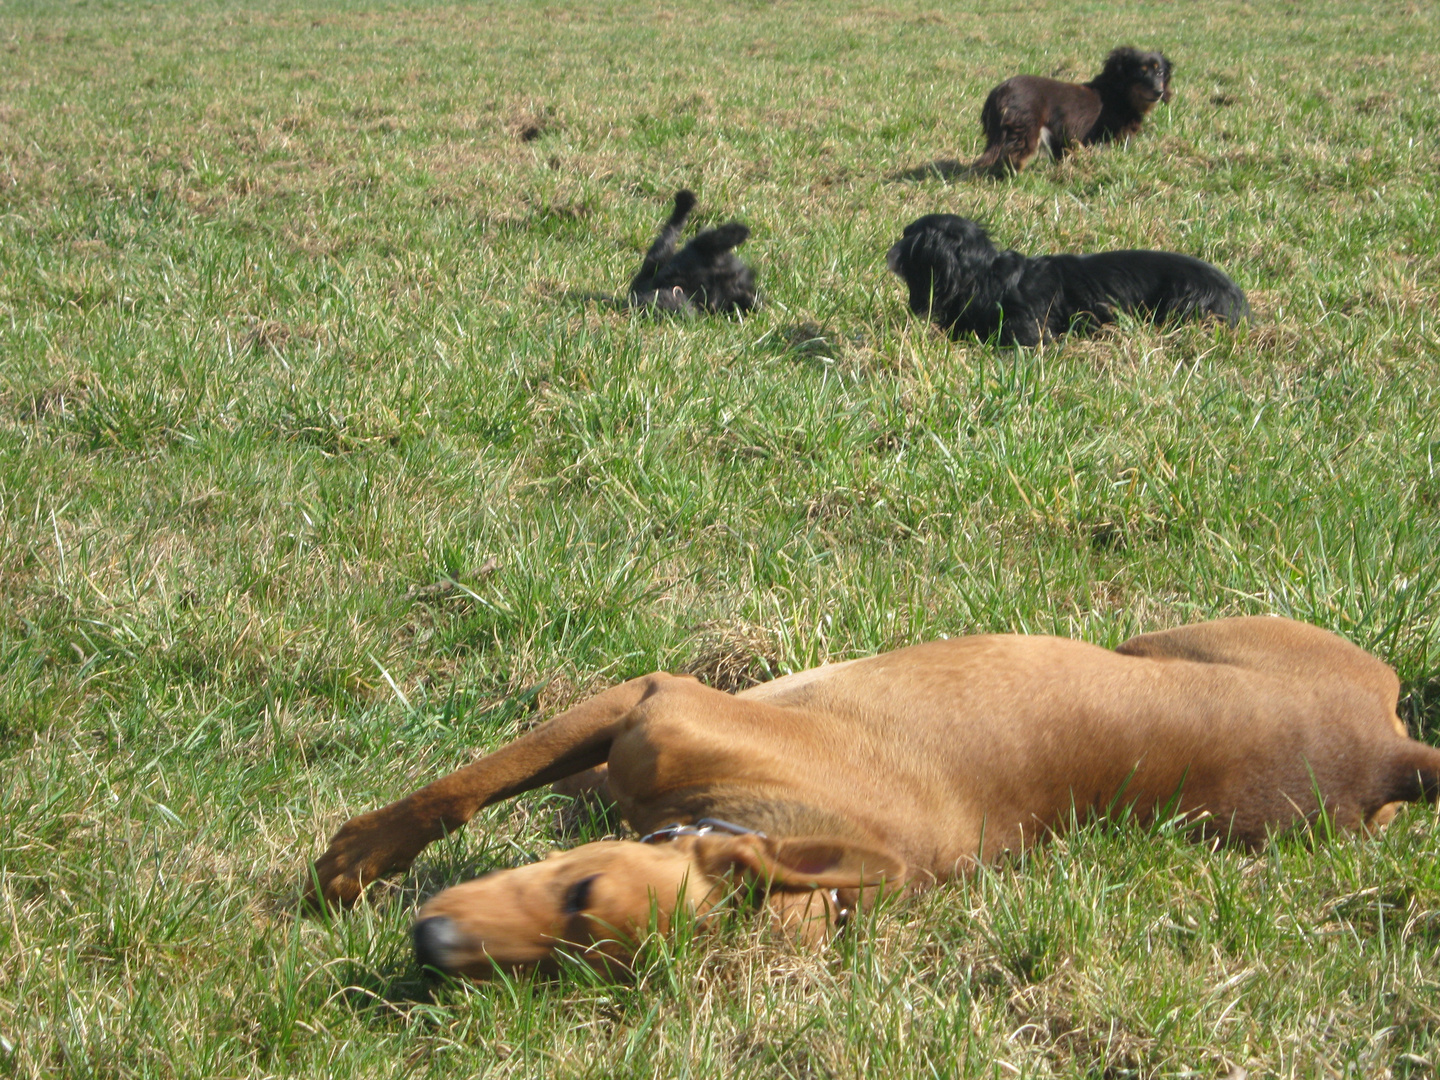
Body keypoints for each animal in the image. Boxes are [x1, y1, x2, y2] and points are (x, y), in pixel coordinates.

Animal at [973, 46, 1175, 175]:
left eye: (1160, 72)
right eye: (1141, 72)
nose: (1159, 92)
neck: (1118, 94)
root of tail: (998, 92)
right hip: (1026, 132)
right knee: (1014, 159)